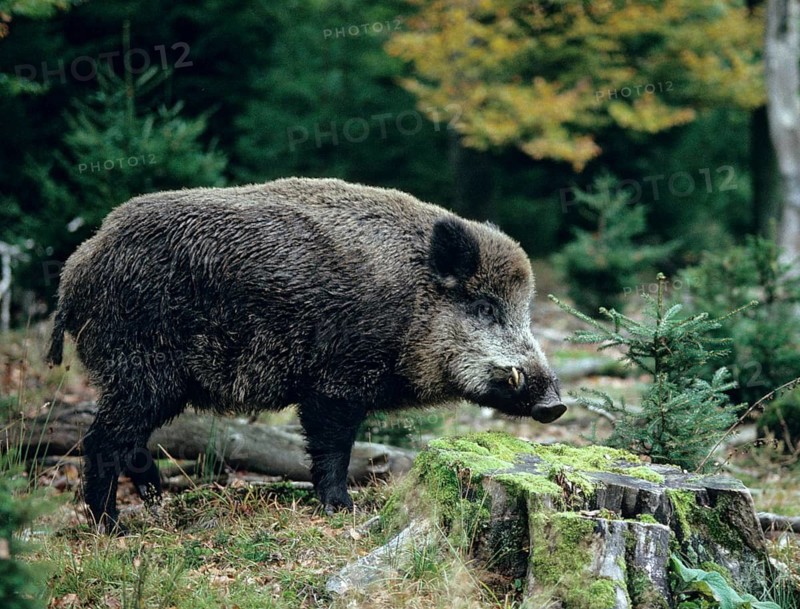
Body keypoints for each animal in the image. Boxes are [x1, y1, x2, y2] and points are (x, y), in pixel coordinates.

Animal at [46, 177, 565, 532]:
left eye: (525, 309)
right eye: (484, 308)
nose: (555, 404)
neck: (413, 303)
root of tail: (76, 269)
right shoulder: (337, 382)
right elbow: (333, 447)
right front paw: (344, 509)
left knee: (128, 439)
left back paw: (155, 501)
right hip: (140, 370)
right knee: (100, 440)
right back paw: (113, 527)